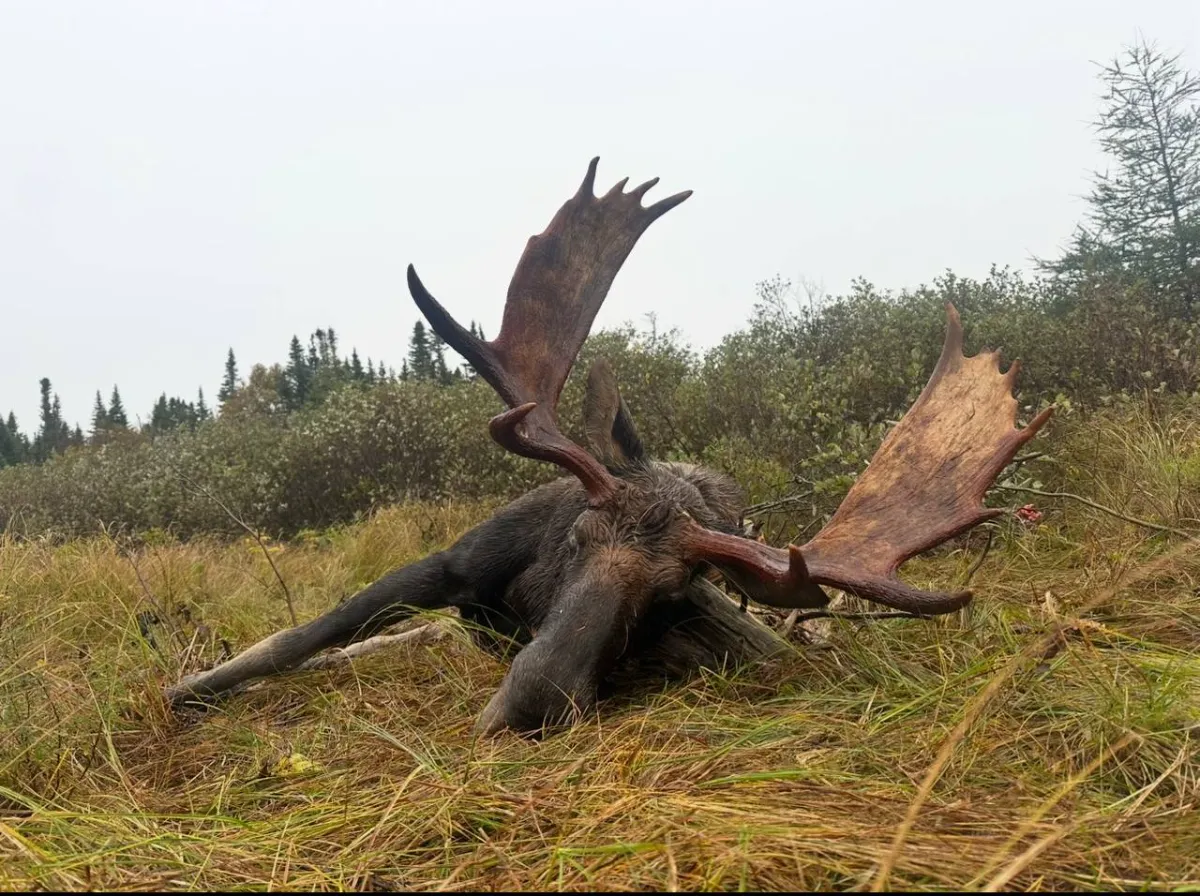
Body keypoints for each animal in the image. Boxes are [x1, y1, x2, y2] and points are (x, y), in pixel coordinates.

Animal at [164, 158, 1053, 735]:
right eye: (576, 540)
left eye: (670, 594)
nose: (530, 706)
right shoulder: (450, 560)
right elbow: (292, 638)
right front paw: (182, 693)